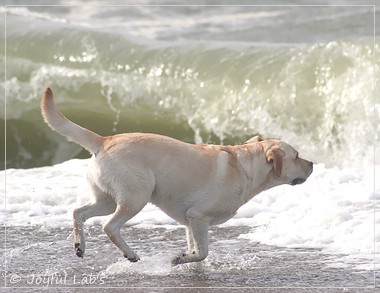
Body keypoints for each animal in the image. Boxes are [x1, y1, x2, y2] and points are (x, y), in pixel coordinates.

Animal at [41, 86, 314, 264]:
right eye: (297, 155)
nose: (312, 163)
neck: (246, 166)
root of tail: (104, 139)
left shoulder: (190, 222)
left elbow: (197, 249)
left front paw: (188, 259)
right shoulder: (198, 216)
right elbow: (202, 252)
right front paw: (180, 259)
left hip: (107, 198)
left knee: (78, 212)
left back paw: (80, 246)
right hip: (137, 196)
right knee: (110, 226)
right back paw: (130, 253)